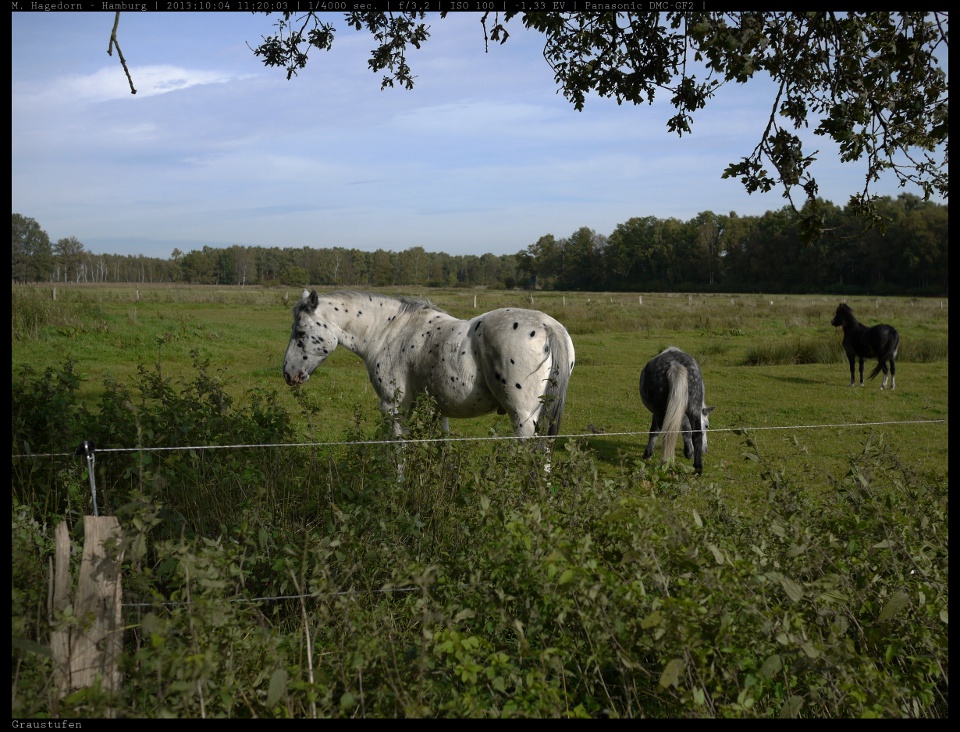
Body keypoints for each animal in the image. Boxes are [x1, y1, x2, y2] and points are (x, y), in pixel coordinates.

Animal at [282, 288, 572, 444]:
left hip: (523, 419)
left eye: (300, 332)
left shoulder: (393, 408)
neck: (388, 331)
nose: (288, 374)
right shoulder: (438, 409)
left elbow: (397, 452)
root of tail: (548, 326)